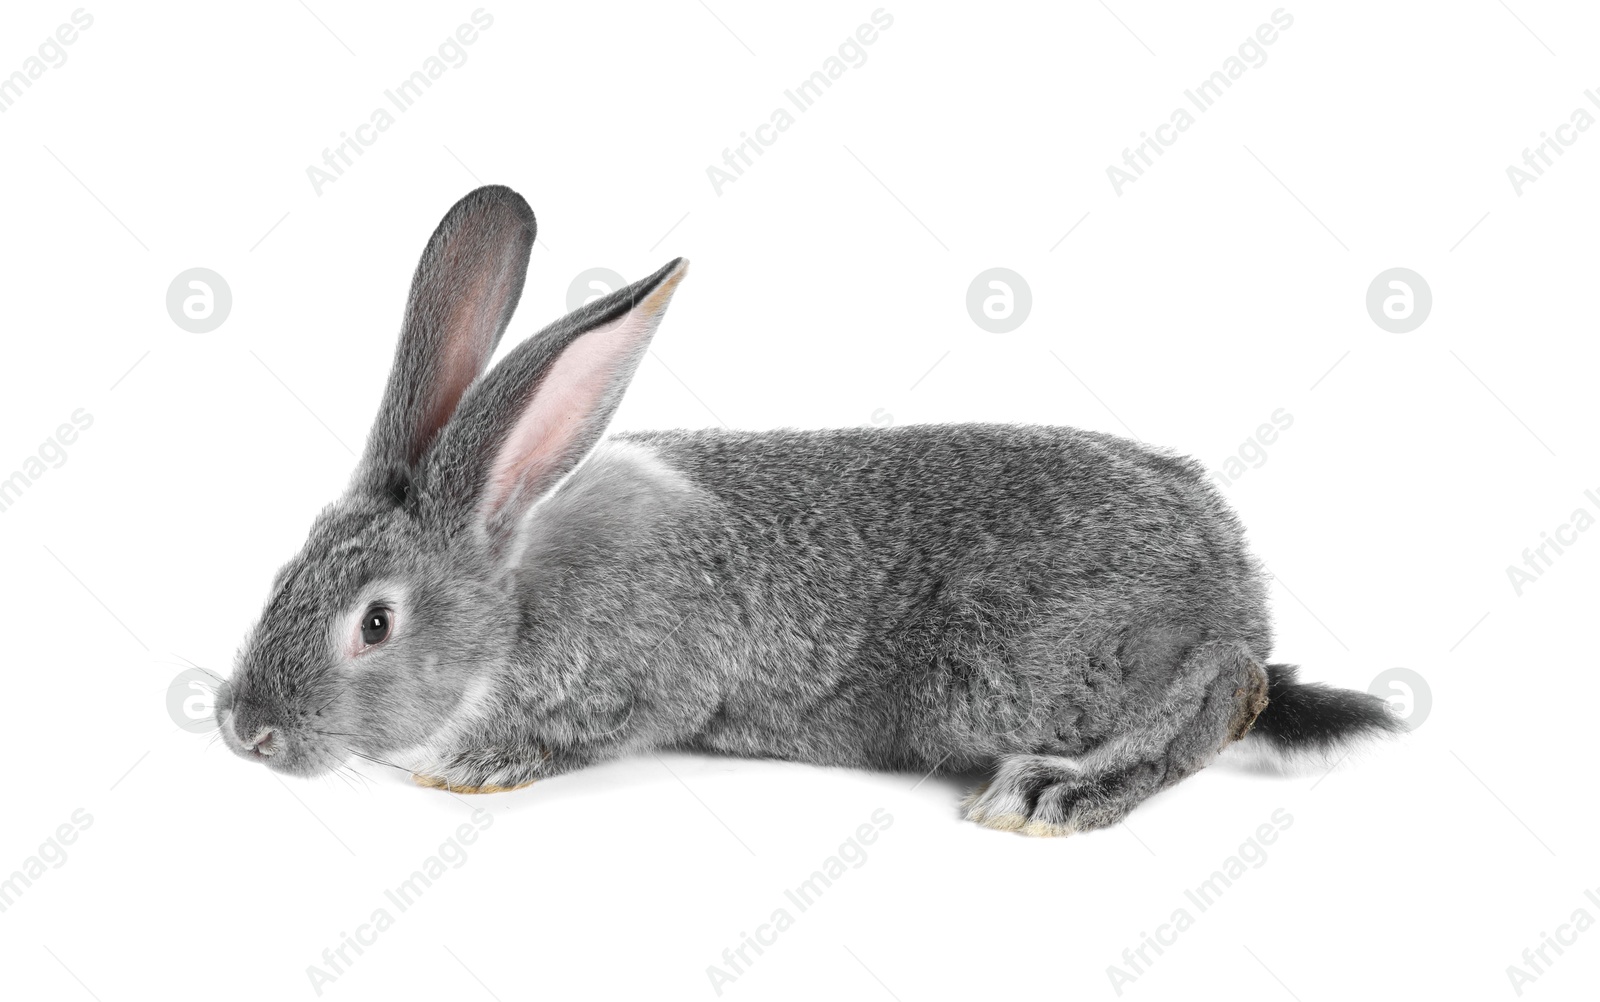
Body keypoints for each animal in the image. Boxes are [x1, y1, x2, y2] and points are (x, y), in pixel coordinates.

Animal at [216, 185, 1401, 832]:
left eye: (375, 623)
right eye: (279, 577)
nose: (242, 729)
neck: (509, 586)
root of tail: (1231, 581)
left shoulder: (648, 672)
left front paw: (472, 766)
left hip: (1029, 666)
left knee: (1226, 692)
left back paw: (1054, 794)